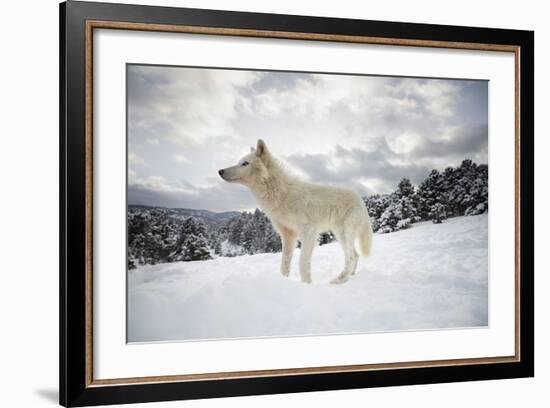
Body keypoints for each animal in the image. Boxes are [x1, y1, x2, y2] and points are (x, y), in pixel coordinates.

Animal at [220, 140, 376, 284]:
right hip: (340, 234)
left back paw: (338, 280)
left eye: (245, 163)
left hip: (342, 233)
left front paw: (306, 284)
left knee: (350, 257)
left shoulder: (309, 232)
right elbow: (284, 265)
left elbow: (302, 264)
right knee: (355, 255)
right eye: (239, 162)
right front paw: (283, 282)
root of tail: (360, 199)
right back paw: (350, 276)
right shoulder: (288, 235)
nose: (220, 171)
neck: (281, 194)